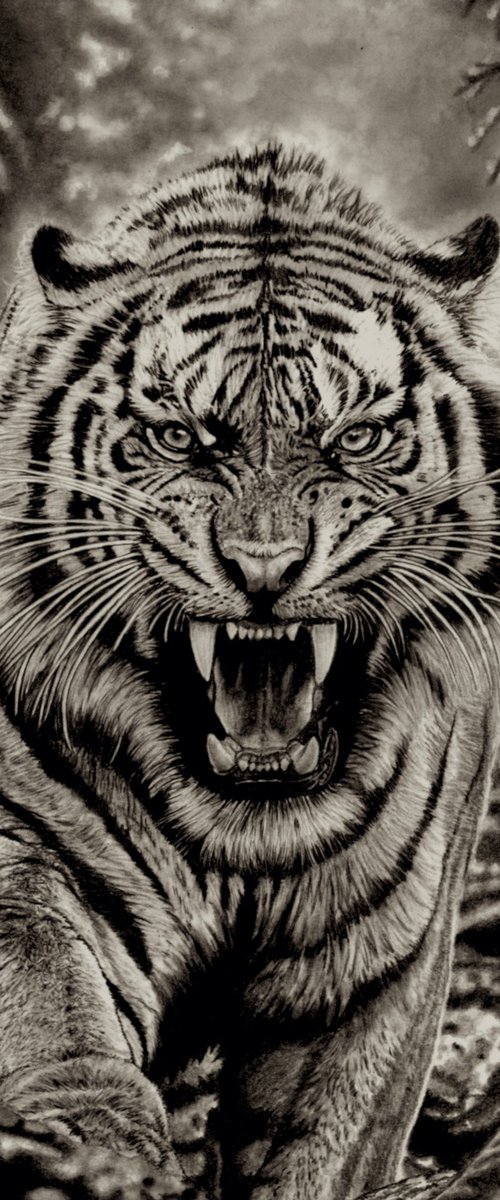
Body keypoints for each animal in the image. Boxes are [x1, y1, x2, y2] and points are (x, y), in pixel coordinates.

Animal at [0, 142, 499, 1200]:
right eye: (180, 437)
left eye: (356, 438)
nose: (265, 569)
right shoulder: (30, 851)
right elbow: (51, 1005)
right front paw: (90, 1152)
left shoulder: (370, 978)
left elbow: (316, 1147)